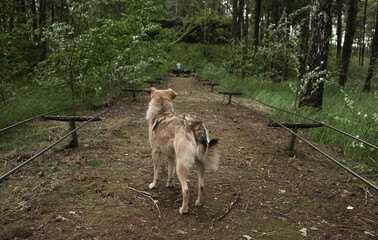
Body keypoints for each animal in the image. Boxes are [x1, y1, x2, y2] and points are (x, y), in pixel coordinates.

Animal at [146, 87, 220, 215]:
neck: (161, 112)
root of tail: (195, 124)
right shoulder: (171, 156)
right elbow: (170, 174)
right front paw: (169, 184)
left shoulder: (155, 152)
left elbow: (156, 173)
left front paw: (153, 185)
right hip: (200, 163)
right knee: (201, 185)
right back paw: (199, 203)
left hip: (181, 166)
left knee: (186, 190)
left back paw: (183, 210)